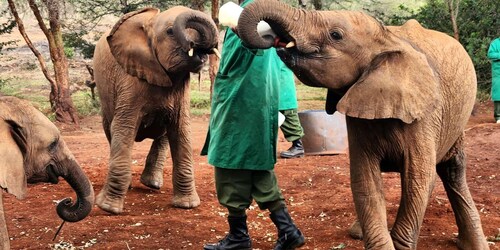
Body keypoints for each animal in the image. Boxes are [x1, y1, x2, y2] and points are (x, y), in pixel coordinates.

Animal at [94, 5, 219, 214]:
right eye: (170, 32)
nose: (195, 45)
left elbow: (181, 130)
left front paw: (187, 205)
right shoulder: (130, 80)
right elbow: (123, 128)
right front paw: (108, 208)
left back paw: (152, 183)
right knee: (110, 129)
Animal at [237, 0, 488, 249]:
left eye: (335, 35)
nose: (271, 39)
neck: (387, 39)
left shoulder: (424, 117)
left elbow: (418, 182)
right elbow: (365, 181)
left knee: (452, 171)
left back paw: (474, 244)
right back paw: (357, 232)